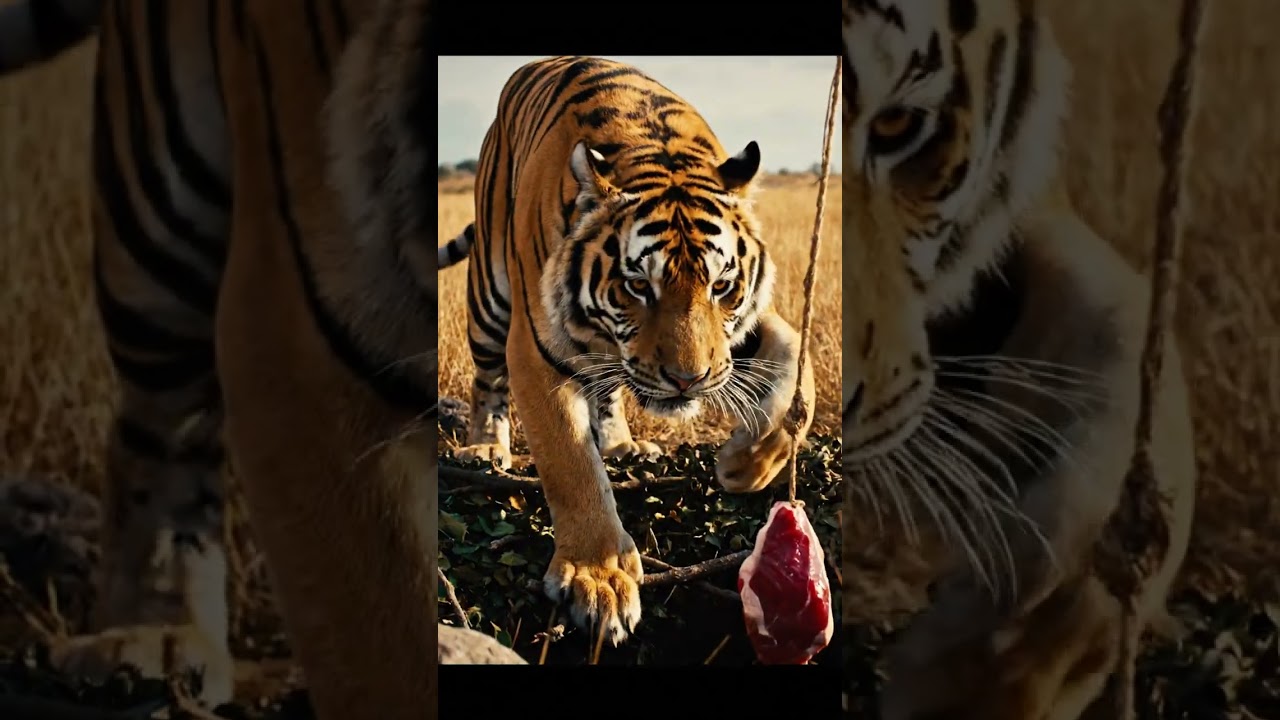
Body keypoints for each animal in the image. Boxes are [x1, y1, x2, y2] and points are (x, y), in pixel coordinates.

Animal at [437, 56, 816, 645]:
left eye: (721, 286)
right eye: (639, 286)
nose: (688, 379)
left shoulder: (742, 331)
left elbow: (797, 373)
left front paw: (744, 466)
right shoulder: (534, 348)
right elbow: (570, 463)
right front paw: (597, 580)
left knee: (607, 391)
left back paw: (622, 445)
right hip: (489, 298)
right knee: (488, 383)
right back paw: (484, 448)